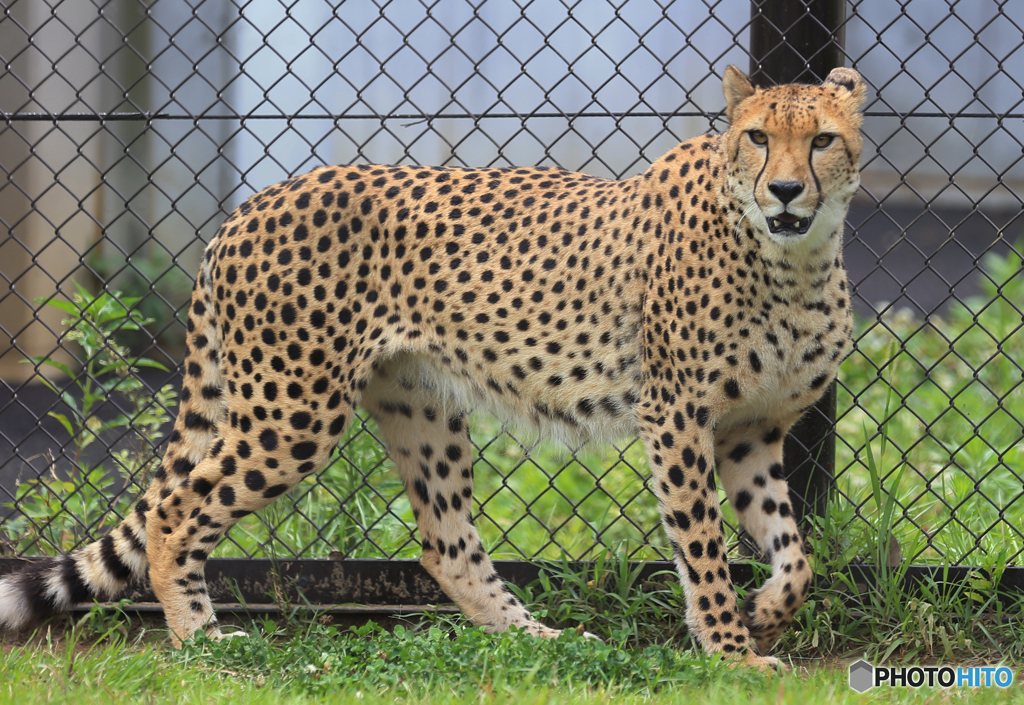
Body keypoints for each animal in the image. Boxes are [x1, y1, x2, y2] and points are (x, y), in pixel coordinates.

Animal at [0, 64, 864, 668]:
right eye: (757, 137)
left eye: (822, 139)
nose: (787, 189)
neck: (792, 260)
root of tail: (252, 202)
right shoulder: (678, 417)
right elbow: (703, 545)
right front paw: (733, 653)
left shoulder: (751, 430)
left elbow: (797, 552)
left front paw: (764, 613)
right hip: (294, 411)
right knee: (177, 508)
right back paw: (201, 642)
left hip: (420, 404)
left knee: (444, 543)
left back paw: (541, 638)